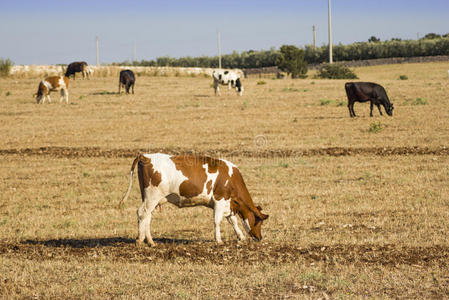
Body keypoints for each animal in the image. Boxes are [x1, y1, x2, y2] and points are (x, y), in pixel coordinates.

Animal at [117, 152, 268, 246]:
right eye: (259, 221)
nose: (260, 237)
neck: (230, 178)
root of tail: (146, 156)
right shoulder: (219, 200)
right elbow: (217, 221)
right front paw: (219, 240)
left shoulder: (228, 203)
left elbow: (233, 221)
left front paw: (241, 237)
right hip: (152, 196)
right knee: (142, 213)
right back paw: (140, 239)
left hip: (150, 198)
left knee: (147, 216)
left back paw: (151, 241)